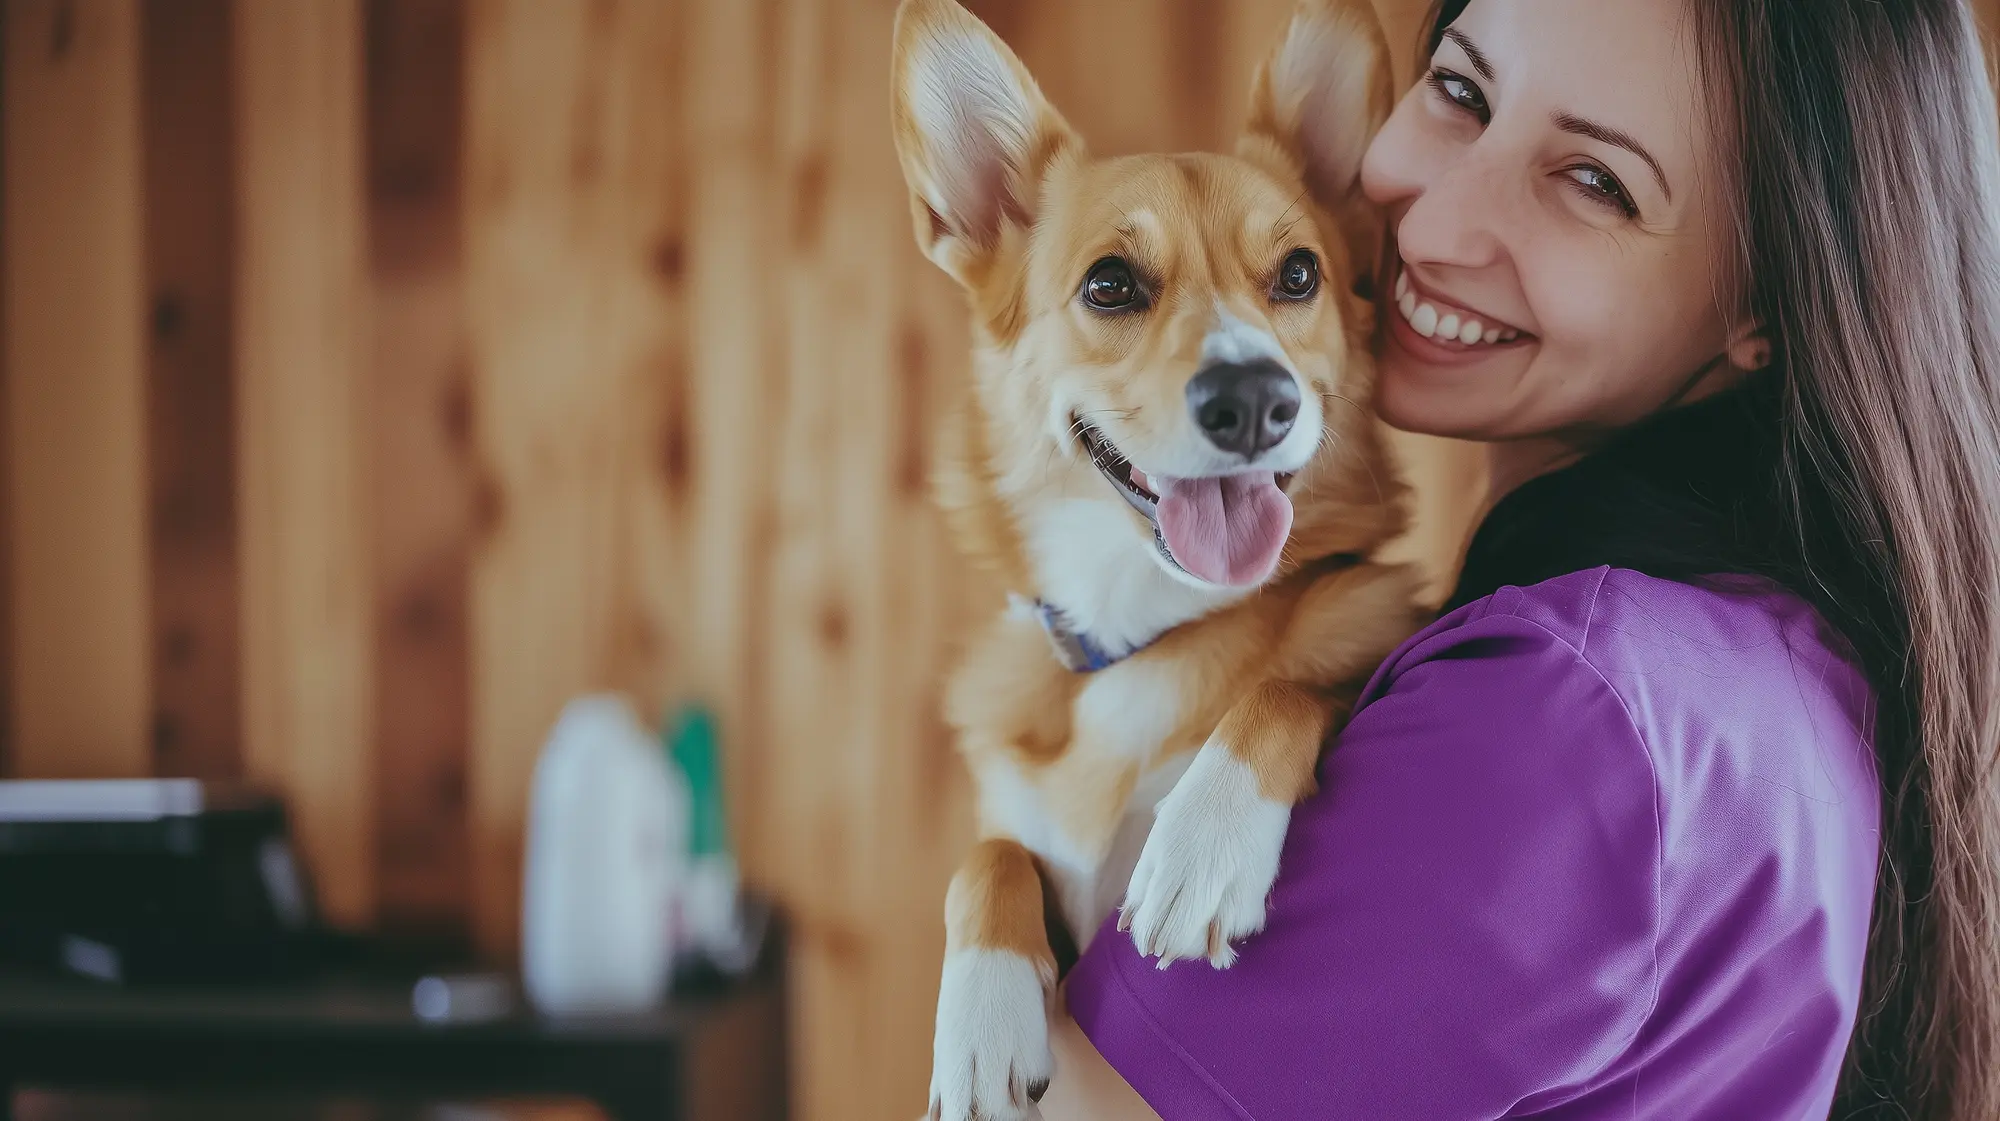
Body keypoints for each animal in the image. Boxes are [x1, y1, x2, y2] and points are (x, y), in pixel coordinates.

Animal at [900, 4, 1432, 1112]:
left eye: (1298, 274)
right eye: (1110, 284)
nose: (1256, 401)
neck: (1143, 628)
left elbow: (1288, 690)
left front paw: (1204, 842)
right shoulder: (1014, 827)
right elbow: (987, 852)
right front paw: (978, 1016)